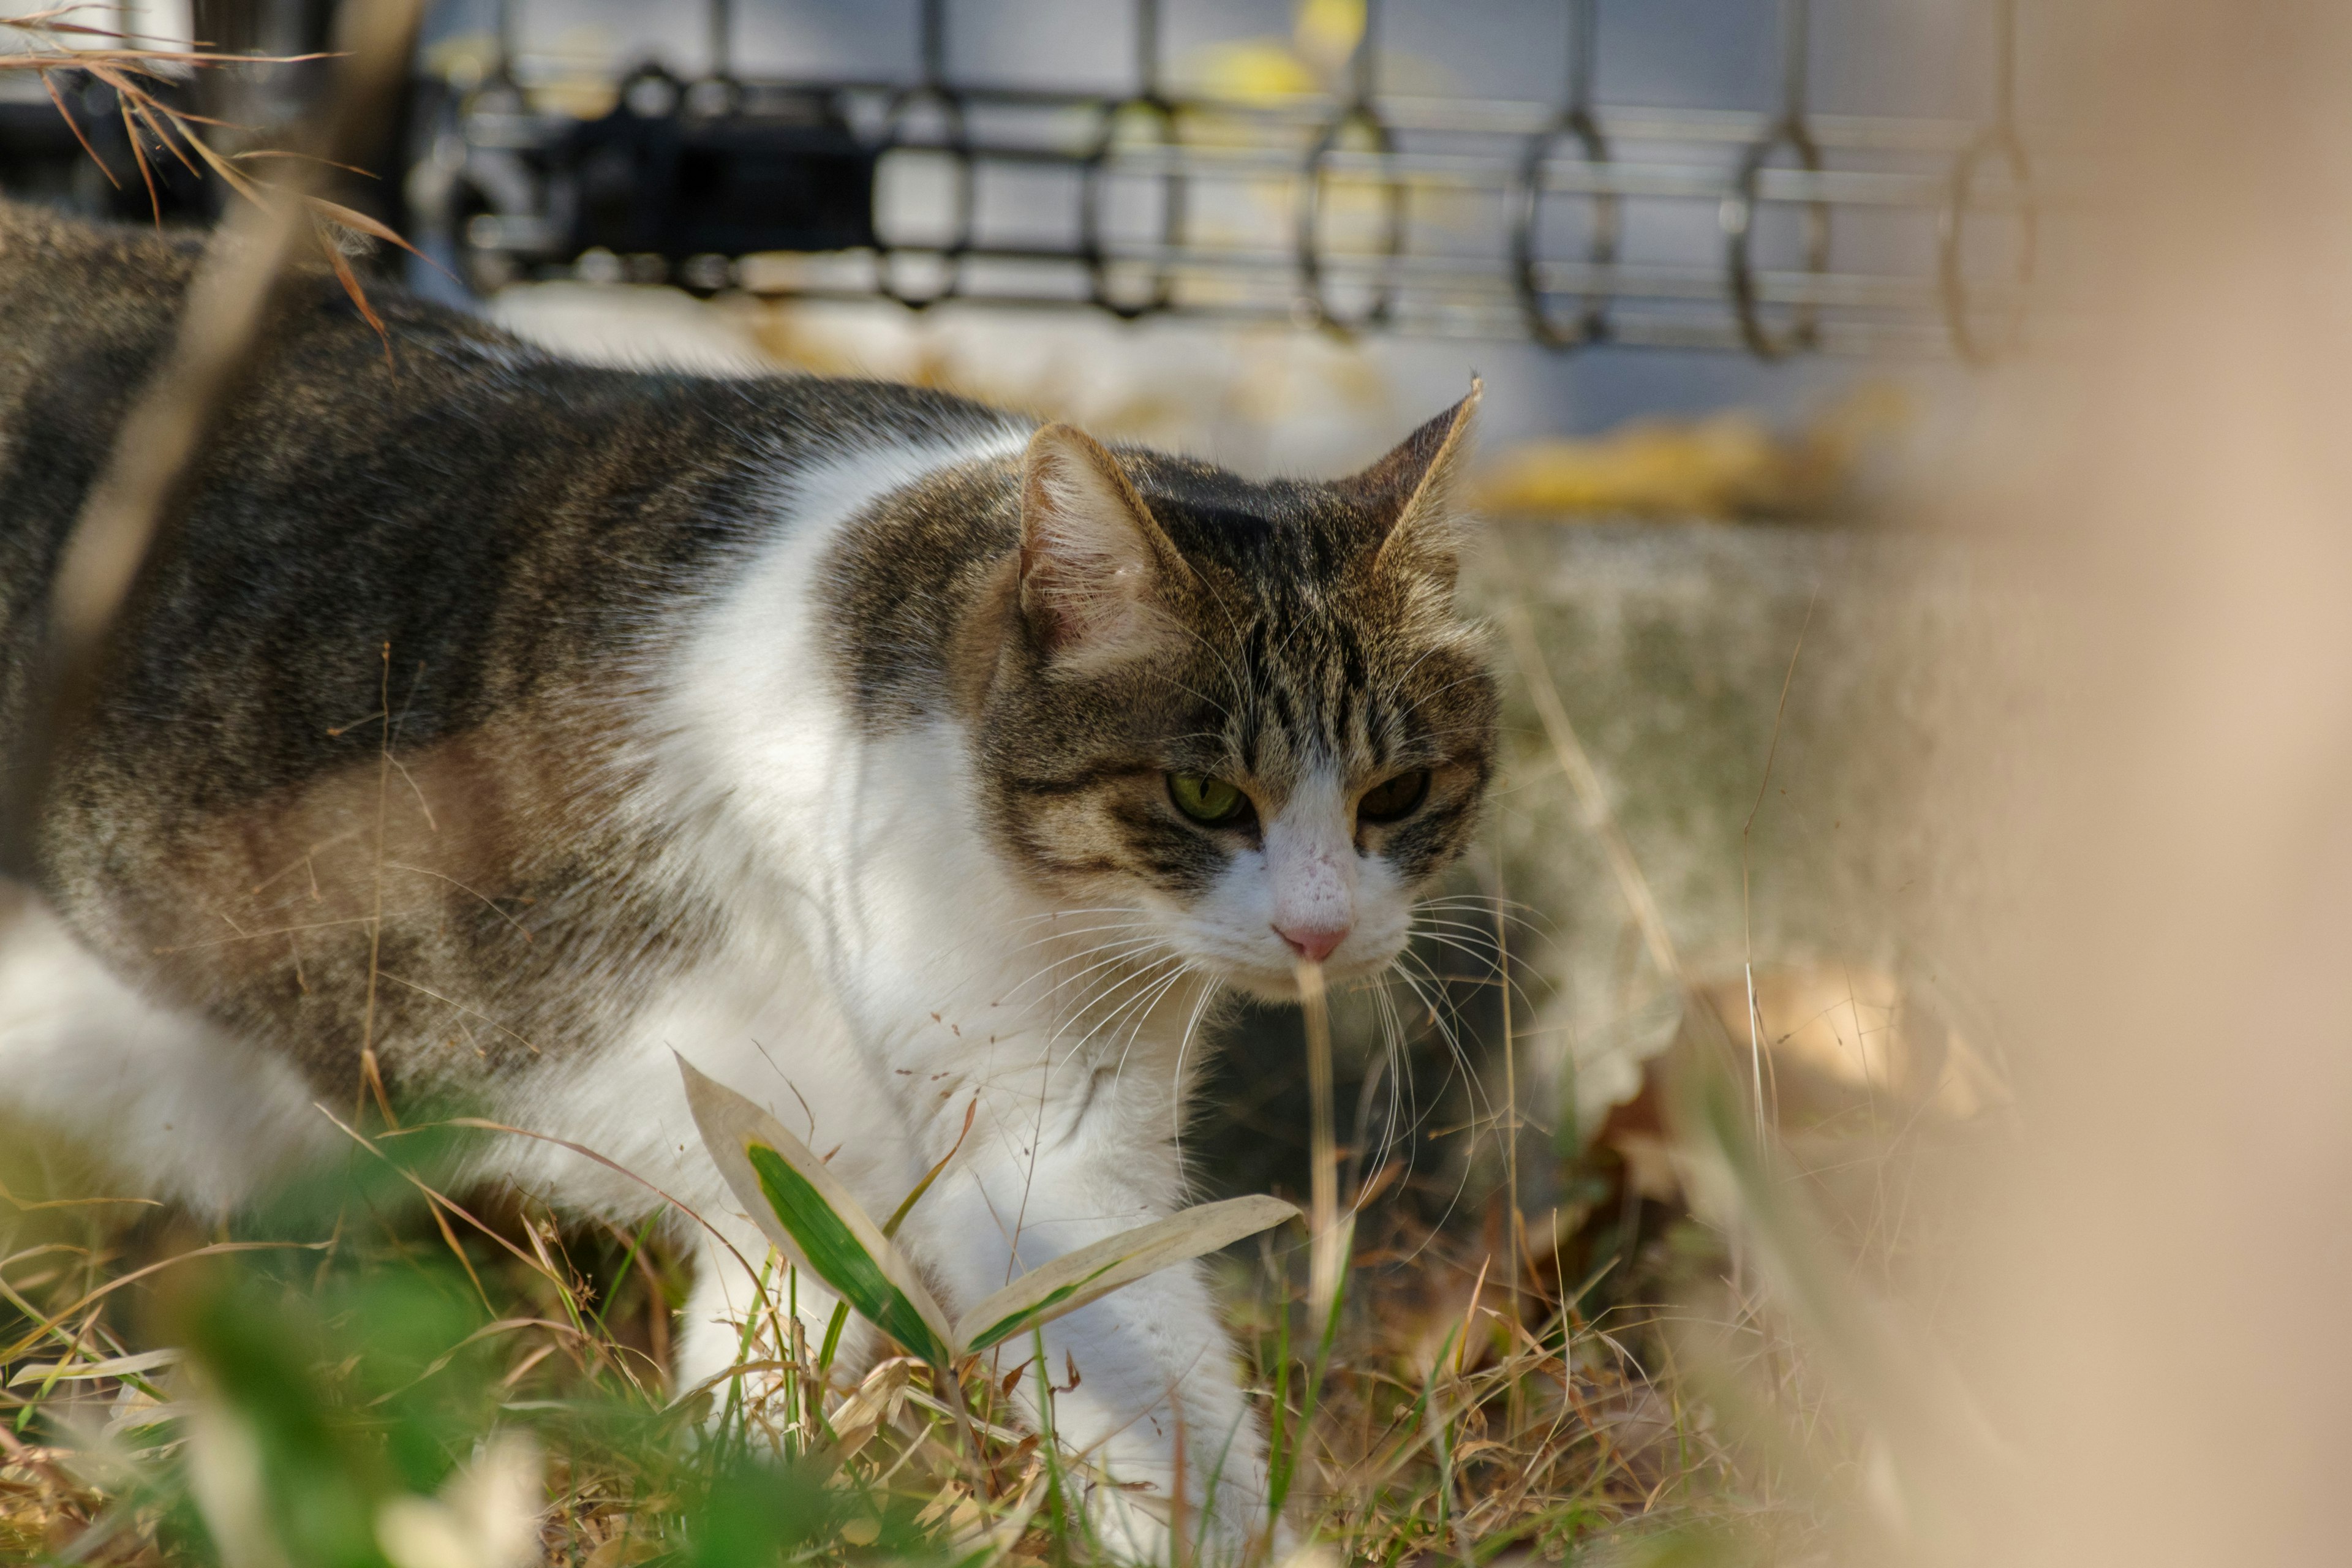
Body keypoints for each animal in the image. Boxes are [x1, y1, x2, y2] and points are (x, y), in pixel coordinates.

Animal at [0, 205, 1496, 1561]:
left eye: (1400, 794)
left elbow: (762, 1395)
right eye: (1205, 798)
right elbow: (1142, 1382)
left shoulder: (817, 1177)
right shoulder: (1020, 1149)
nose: (1321, 930)